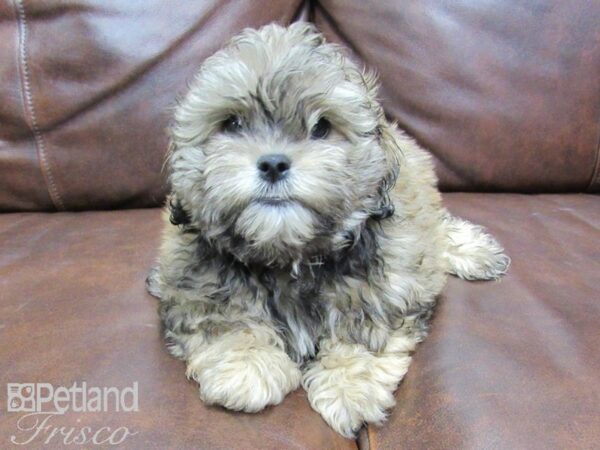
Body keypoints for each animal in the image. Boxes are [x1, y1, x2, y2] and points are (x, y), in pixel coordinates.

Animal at [148, 22, 508, 440]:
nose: (273, 163)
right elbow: (225, 319)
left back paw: (474, 251)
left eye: (322, 127)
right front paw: (248, 368)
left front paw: (349, 386)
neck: (288, 257)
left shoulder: (388, 286)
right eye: (232, 124)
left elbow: (363, 332)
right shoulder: (196, 284)